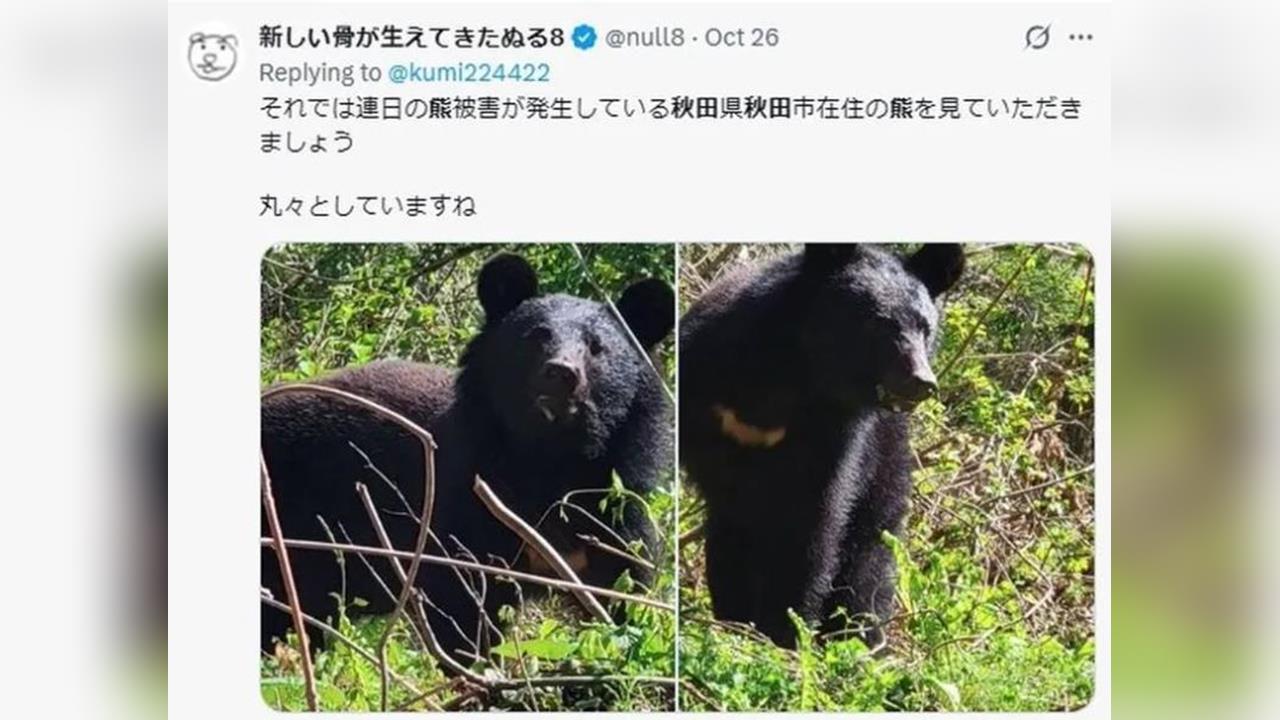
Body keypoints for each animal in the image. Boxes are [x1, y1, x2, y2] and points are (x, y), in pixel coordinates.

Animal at [260, 252, 674, 666]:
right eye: (536, 336)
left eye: (596, 347)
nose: (561, 373)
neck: (549, 457)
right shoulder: (466, 507)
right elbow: (462, 607)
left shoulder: (614, 503)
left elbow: (623, 589)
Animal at [678, 243, 964, 648]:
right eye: (880, 323)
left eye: (926, 329)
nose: (921, 382)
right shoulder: (704, 382)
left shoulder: (833, 436)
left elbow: (812, 520)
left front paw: (785, 629)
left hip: (885, 461)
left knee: (871, 551)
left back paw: (860, 638)